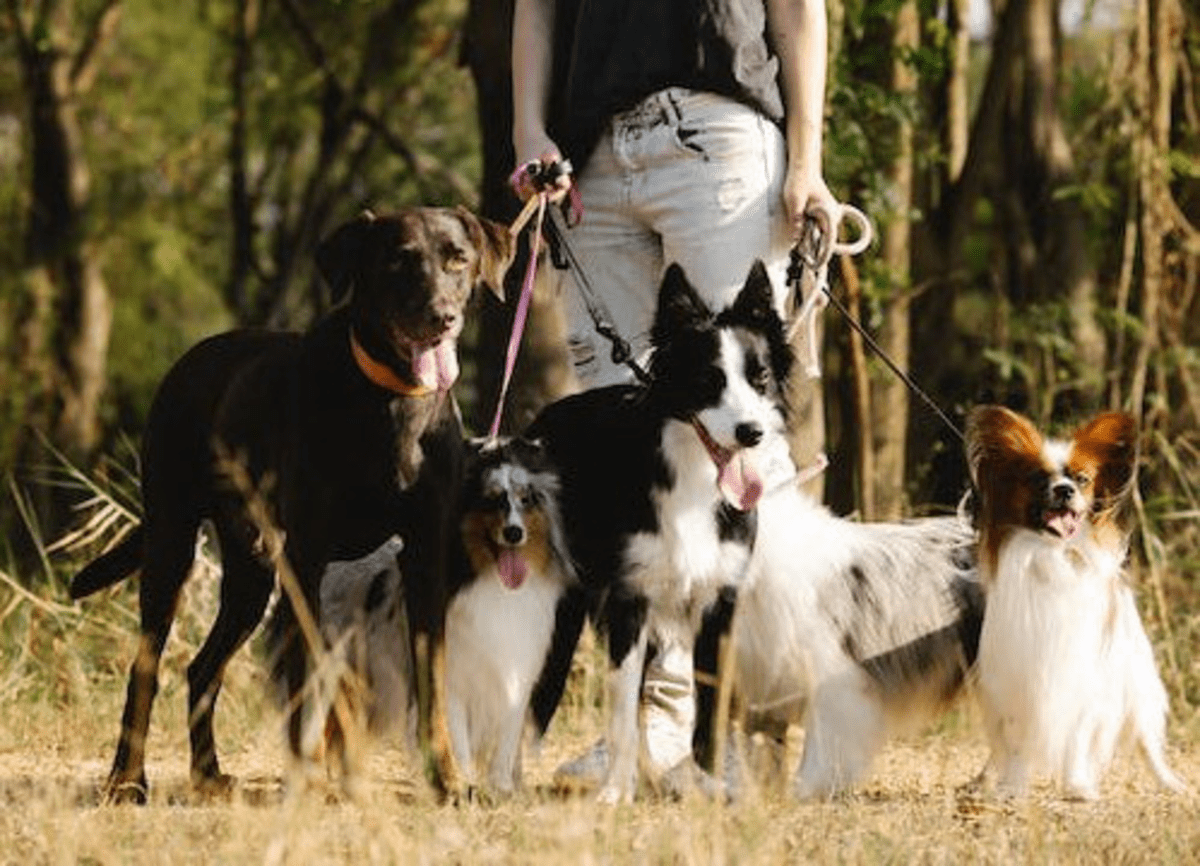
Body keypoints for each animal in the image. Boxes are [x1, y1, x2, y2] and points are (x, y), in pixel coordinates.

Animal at [70, 206, 511, 801]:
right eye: (398, 260)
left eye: (457, 259)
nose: (442, 317)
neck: (390, 398)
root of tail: (191, 357)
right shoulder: (307, 560)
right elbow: (312, 682)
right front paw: (310, 780)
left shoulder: (424, 557)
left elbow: (432, 683)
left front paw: (446, 780)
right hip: (171, 542)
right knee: (147, 667)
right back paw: (126, 779)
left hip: (250, 573)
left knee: (202, 668)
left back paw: (207, 774)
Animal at [964, 405, 1180, 796]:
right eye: (1037, 478)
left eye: (1081, 479)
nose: (1063, 490)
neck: (1055, 554)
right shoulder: (1018, 679)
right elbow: (1018, 742)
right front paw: (1012, 787)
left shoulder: (1085, 682)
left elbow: (1078, 738)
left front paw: (1078, 786)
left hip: (1136, 683)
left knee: (1147, 741)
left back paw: (1169, 783)